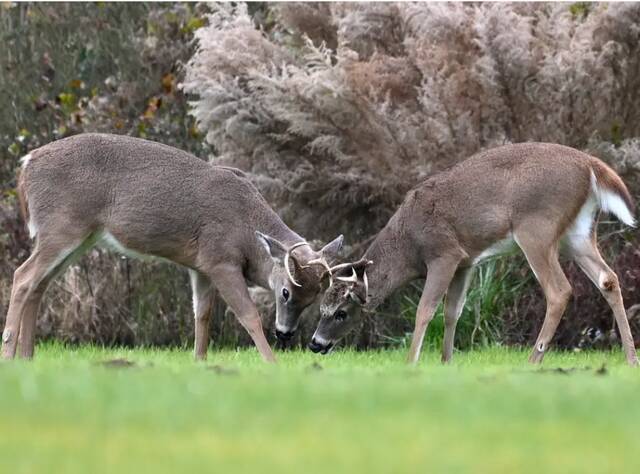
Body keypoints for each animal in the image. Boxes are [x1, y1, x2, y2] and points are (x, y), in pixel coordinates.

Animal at [1, 131, 344, 362]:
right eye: (285, 292)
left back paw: (27, 356)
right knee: (23, 276)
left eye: (313, 298)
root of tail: (26, 164)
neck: (247, 228)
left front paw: (200, 362)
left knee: (39, 284)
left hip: (78, 237)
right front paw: (271, 363)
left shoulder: (201, 266)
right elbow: (248, 315)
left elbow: (201, 316)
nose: (285, 333)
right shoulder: (221, 258)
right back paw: (9, 353)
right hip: (61, 226)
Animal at [306, 142, 640, 366]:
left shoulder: (444, 253)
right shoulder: (466, 261)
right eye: (321, 308)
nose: (315, 344)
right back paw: (630, 357)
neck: (408, 243)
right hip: (577, 233)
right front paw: (446, 361)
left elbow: (425, 309)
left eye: (341, 312)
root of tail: (591, 165)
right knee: (608, 278)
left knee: (559, 290)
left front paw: (411, 362)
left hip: (536, 228)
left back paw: (534, 360)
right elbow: (453, 311)